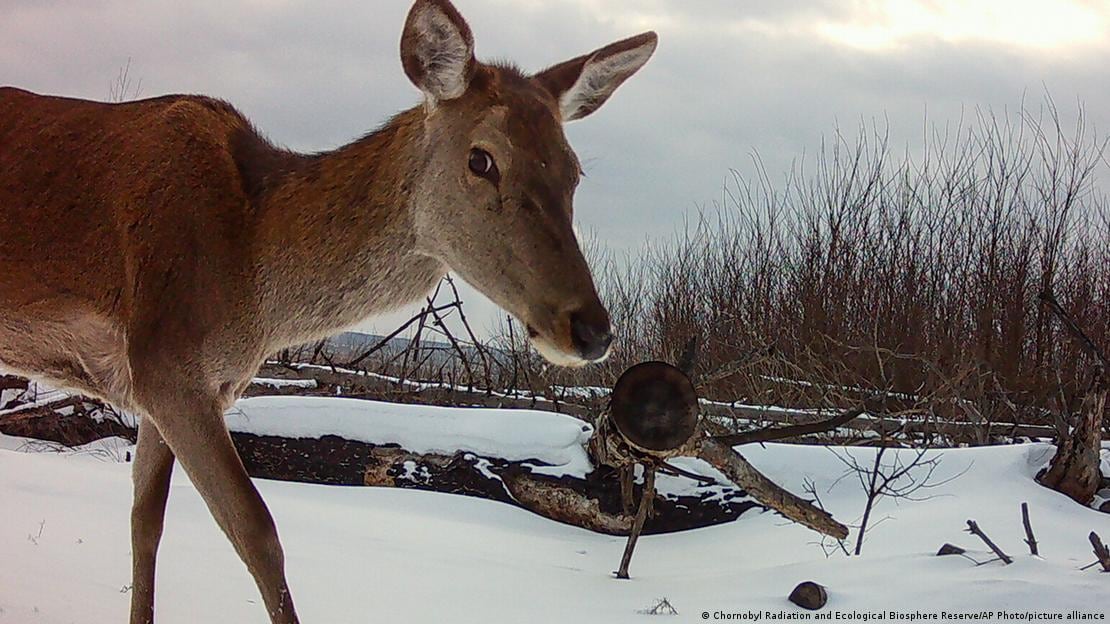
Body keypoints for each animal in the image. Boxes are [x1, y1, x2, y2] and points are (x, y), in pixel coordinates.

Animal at [0, 0, 657, 622]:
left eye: (574, 171)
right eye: (481, 159)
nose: (591, 329)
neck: (249, 283)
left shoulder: (173, 384)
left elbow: (146, 522)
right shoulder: (167, 366)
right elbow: (256, 532)